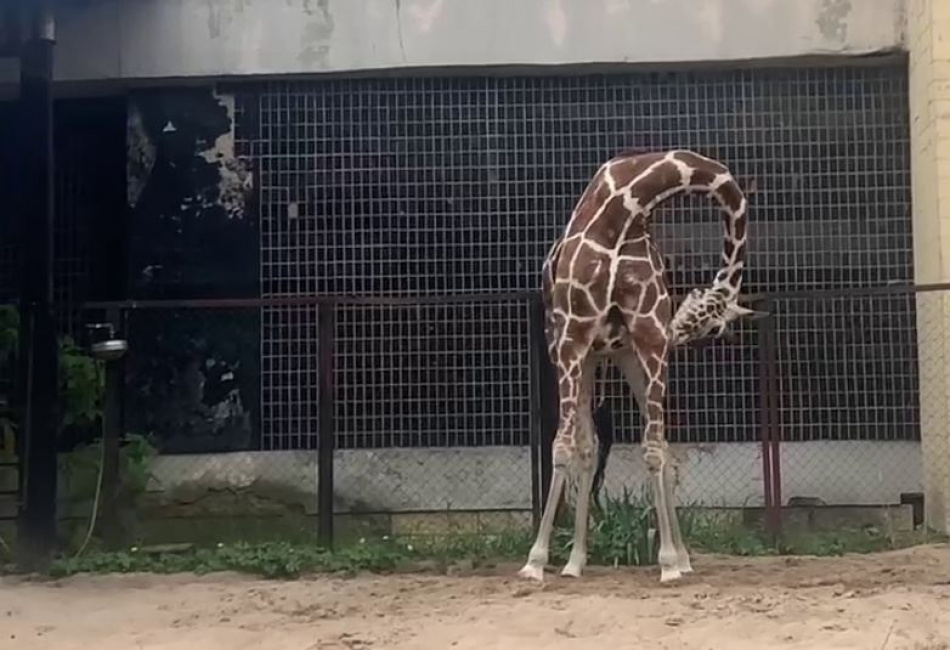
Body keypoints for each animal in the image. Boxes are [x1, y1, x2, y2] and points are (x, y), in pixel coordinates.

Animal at [520, 147, 768, 584]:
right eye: (716, 326)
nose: (676, 333)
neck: (627, 208)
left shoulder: (648, 339)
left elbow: (654, 449)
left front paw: (670, 561)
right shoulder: (572, 336)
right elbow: (561, 446)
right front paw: (534, 561)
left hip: (624, 355)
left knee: (648, 446)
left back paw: (669, 558)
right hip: (579, 353)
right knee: (587, 446)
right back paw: (573, 561)